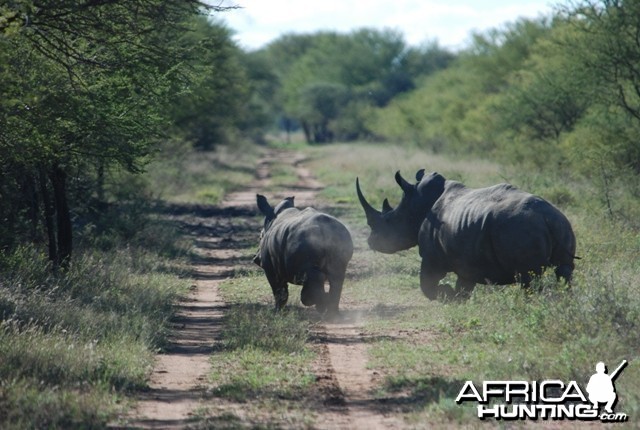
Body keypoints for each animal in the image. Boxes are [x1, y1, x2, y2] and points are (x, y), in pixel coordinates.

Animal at [358, 169, 576, 298]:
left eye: (389, 221)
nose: (371, 241)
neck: (416, 205)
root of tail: (547, 218)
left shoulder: (431, 258)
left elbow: (426, 285)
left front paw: (445, 293)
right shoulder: (468, 260)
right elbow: (463, 286)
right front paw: (455, 297)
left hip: (520, 229)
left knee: (529, 277)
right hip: (561, 224)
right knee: (564, 270)